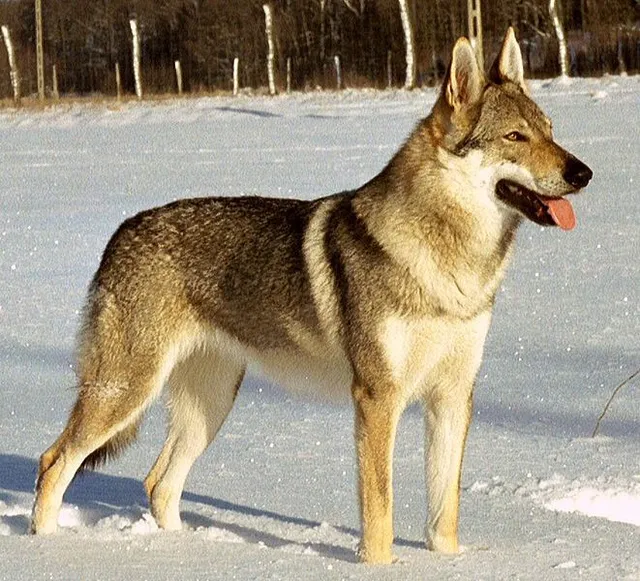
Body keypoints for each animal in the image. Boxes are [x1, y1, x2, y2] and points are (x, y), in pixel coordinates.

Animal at [31, 28, 592, 563]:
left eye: (550, 130)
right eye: (515, 136)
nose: (583, 173)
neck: (452, 265)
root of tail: (121, 231)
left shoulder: (453, 397)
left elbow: (443, 511)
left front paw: (450, 563)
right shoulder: (377, 399)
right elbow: (380, 512)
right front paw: (379, 566)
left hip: (209, 407)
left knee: (158, 484)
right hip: (126, 393)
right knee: (54, 462)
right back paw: (43, 544)